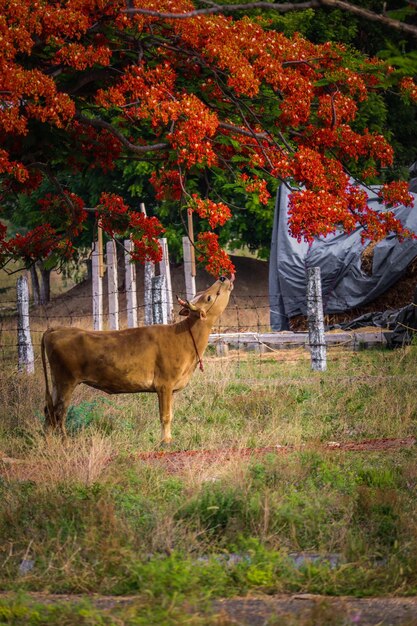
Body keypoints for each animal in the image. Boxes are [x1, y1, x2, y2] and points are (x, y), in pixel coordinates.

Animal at [41, 274, 234, 444]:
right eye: (209, 297)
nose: (223, 277)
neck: (185, 336)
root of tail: (57, 329)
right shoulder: (164, 384)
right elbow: (165, 416)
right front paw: (166, 442)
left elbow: (170, 414)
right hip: (66, 381)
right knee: (59, 413)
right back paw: (65, 443)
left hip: (57, 383)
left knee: (48, 411)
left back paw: (49, 442)